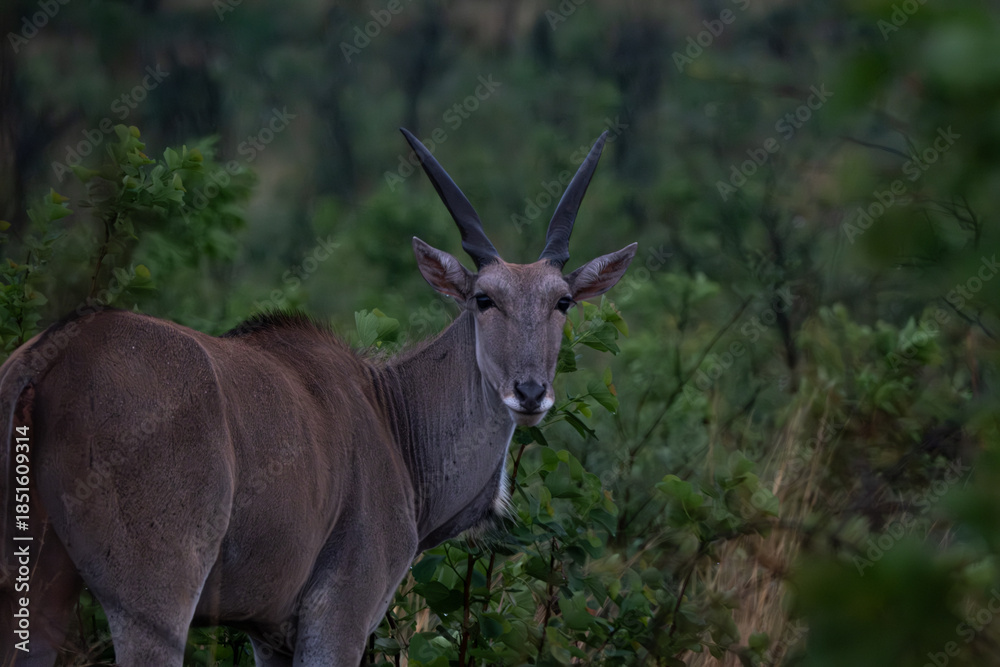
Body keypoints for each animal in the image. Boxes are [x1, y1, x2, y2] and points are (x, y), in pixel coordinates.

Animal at [0, 128, 636, 666]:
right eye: (483, 299)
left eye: (562, 301)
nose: (529, 392)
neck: (390, 414)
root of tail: (52, 353)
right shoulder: (338, 618)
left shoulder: (270, 635)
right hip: (154, 604)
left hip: (36, 596)